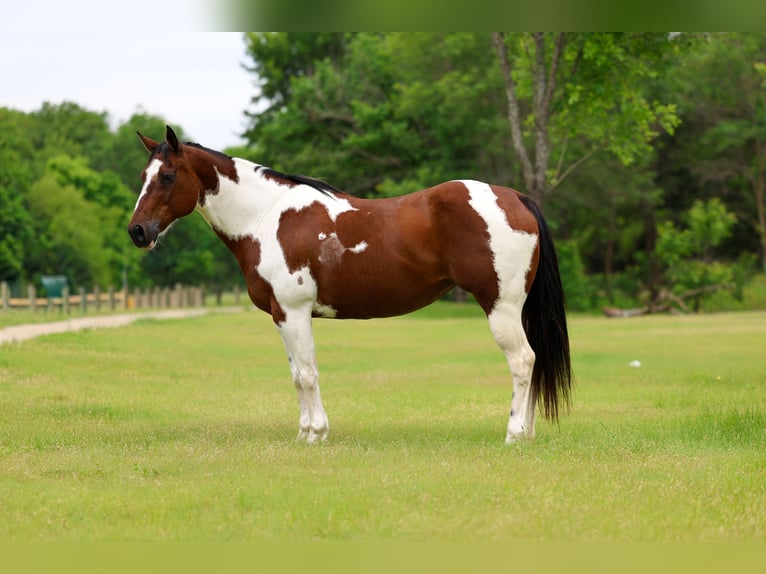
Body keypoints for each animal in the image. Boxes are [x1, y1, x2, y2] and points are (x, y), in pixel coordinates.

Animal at [128, 126, 572, 444]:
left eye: (167, 176)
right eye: (142, 176)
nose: (137, 231)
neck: (266, 217)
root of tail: (515, 197)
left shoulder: (294, 312)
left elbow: (307, 373)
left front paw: (316, 434)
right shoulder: (282, 316)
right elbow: (297, 374)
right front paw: (304, 432)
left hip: (501, 307)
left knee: (523, 361)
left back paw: (514, 435)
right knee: (533, 362)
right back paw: (528, 433)